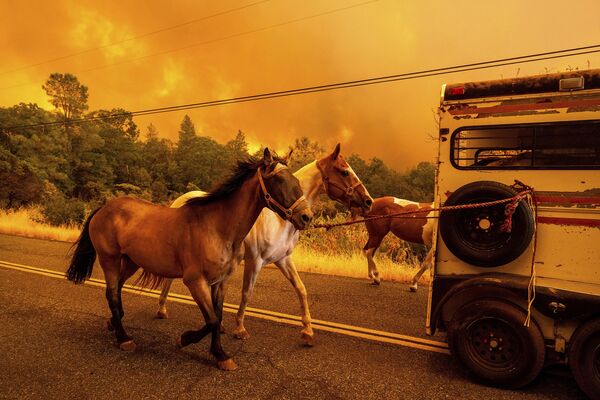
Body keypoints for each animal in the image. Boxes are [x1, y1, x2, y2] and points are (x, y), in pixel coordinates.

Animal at [66, 148, 312, 370]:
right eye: (279, 181)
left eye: (296, 181)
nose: (306, 217)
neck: (217, 227)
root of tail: (103, 208)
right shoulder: (195, 281)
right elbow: (211, 320)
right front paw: (186, 340)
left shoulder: (220, 282)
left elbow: (217, 318)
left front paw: (219, 354)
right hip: (110, 259)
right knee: (112, 294)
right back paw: (124, 338)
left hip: (130, 262)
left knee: (116, 290)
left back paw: (113, 324)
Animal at [156, 145, 370, 346]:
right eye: (344, 171)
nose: (368, 201)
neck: (279, 221)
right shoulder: (255, 261)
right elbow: (246, 293)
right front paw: (240, 329)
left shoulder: (283, 259)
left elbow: (301, 289)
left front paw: (308, 332)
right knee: (169, 280)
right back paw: (162, 309)